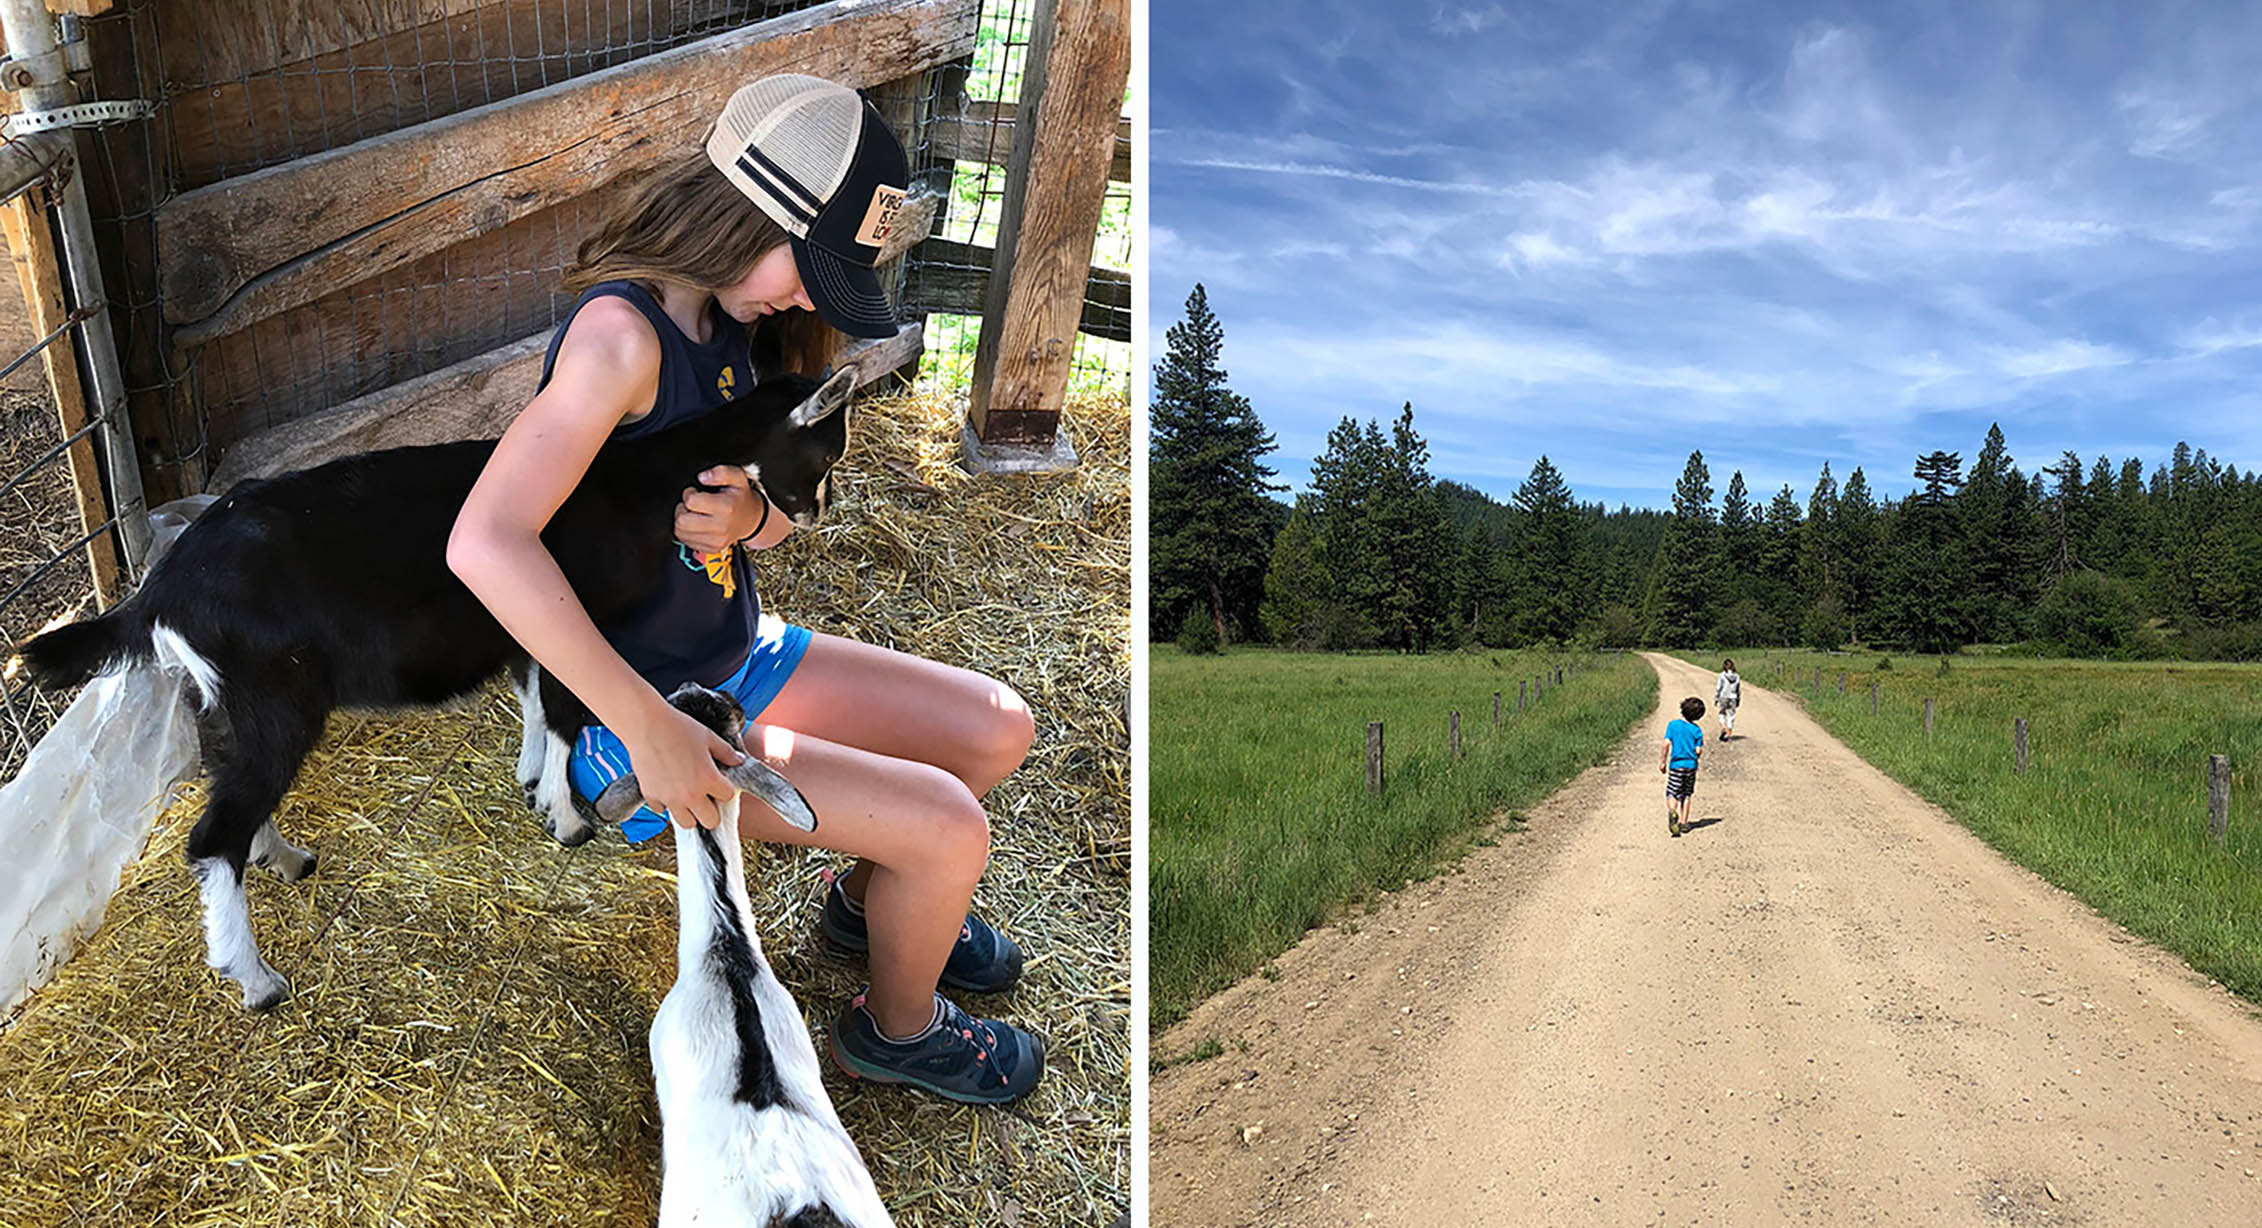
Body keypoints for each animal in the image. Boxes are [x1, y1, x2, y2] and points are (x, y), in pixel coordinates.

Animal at [17, 366, 855, 1008]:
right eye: (824, 449)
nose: (818, 514)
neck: (637, 481)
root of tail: (160, 592)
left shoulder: (527, 621)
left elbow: (533, 698)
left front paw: (531, 784)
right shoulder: (575, 615)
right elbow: (563, 712)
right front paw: (566, 818)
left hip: (223, 700)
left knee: (233, 794)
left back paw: (283, 858)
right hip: (274, 697)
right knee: (212, 834)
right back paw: (255, 979)